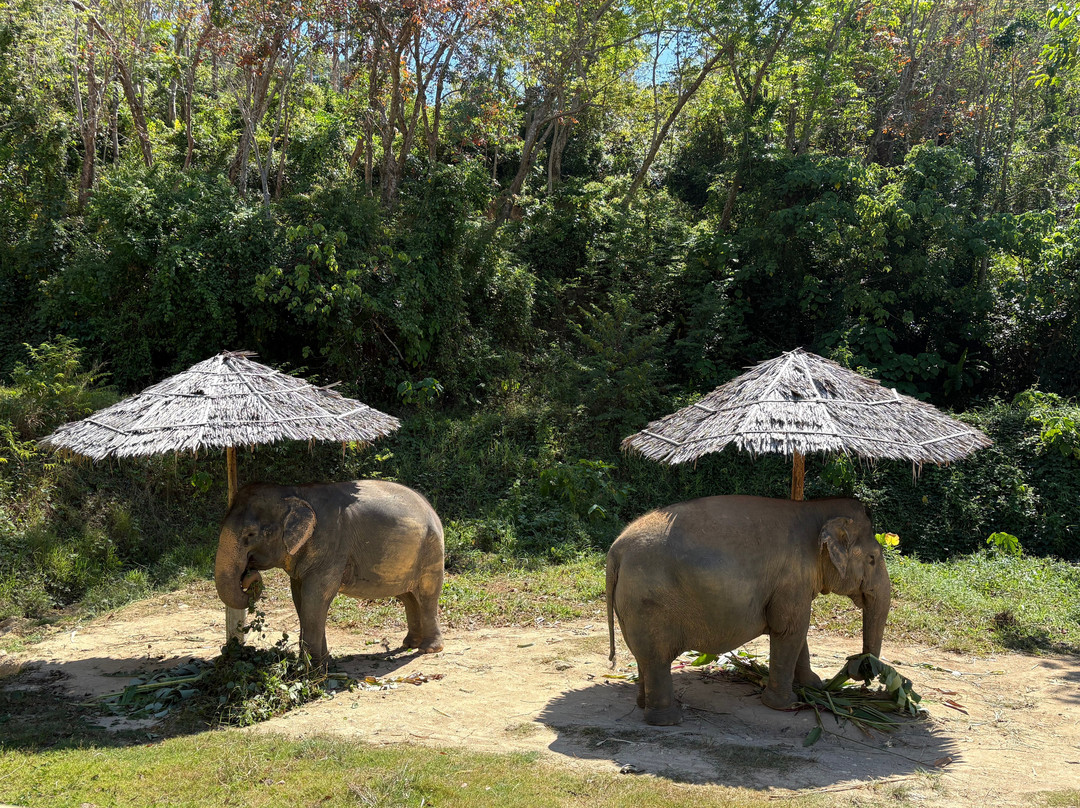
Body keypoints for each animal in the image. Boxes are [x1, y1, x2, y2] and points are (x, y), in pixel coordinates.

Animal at [214, 480, 445, 667]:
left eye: (251, 534)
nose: (249, 574)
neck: (295, 492)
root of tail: (430, 507)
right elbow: (300, 598)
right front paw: (323, 662)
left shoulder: (331, 545)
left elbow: (315, 597)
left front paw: (313, 669)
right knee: (409, 597)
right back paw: (409, 644)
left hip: (431, 550)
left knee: (427, 595)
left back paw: (429, 649)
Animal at [606, 495, 891, 726]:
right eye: (872, 559)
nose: (858, 669)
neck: (815, 509)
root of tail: (616, 549)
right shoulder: (791, 579)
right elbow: (790, 629)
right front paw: (788, 704)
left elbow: (798, 632)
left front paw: (814, 685)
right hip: (649, 603)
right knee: (657, 658)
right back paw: (669, 720)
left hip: (633, 606)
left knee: (644, 657)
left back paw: (643, 705)